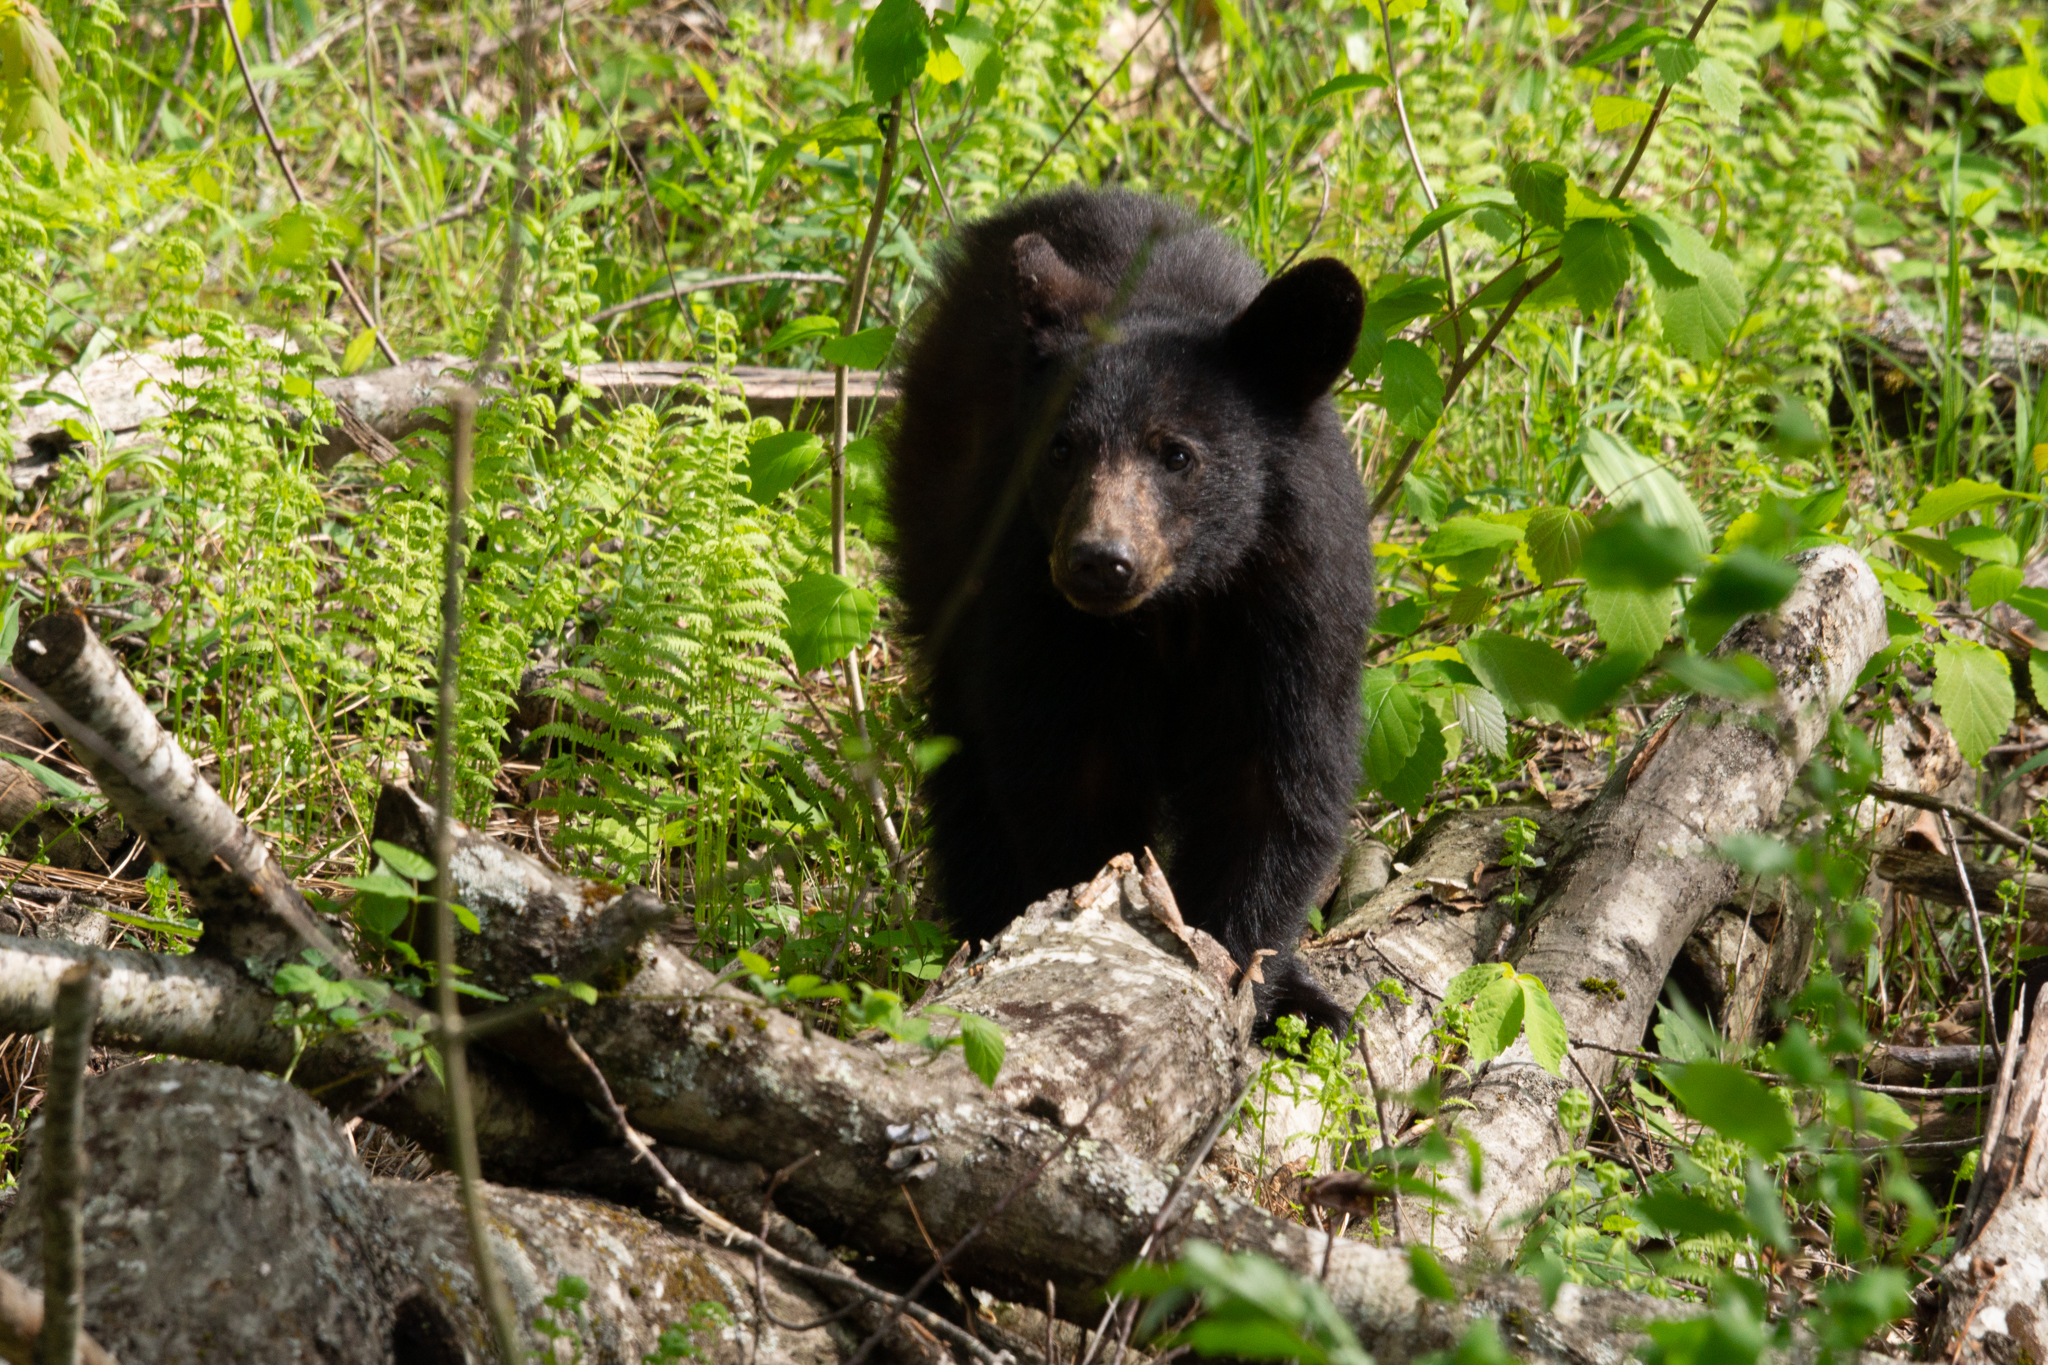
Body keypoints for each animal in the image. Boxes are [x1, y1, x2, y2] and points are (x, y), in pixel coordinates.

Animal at [884, 187, 1376, 1031]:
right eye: (1061, 447)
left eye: (1177, 453)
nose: (1097, 559)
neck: (1180, 605)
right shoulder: (1033, 604)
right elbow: (1065, 774)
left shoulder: (1296, 612)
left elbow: (1275, 790)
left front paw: (1253, 983)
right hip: (942, 541)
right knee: (965, 755)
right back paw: (982, 920)